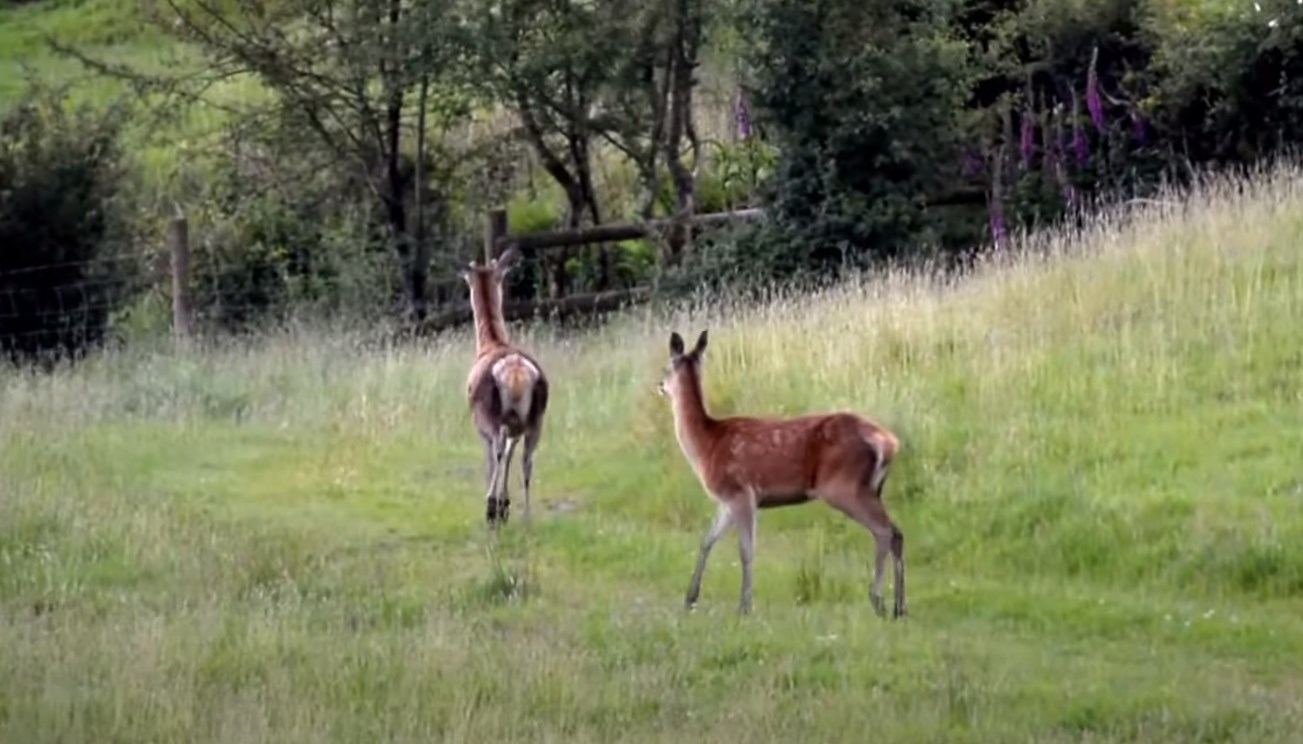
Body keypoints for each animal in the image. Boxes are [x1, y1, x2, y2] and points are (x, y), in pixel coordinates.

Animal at [461, 248, 547, 529]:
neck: (492, 342)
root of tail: (516, 372)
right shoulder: (515, 427)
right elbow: (511, 454)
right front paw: (505, 504)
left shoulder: (481, 426)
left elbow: (491, 459)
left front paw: (497, 506)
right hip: (536, 418)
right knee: (527, 461)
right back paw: (527, 516)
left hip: (490, 414)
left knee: (498, 452)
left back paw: (490, 508)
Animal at [651, 330, 906, 617]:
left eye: (666, 367)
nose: (659, 385)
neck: (707, 445)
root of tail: (889, 442)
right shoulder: (726, 501)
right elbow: (706, 541)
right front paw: (690, 598)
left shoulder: (741, 492)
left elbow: (746, 550)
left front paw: (744, 606)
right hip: (871, 489)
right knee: (897, 532)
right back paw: (899, 606)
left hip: (844, 486)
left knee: (883, 531)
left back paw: (878, 600)